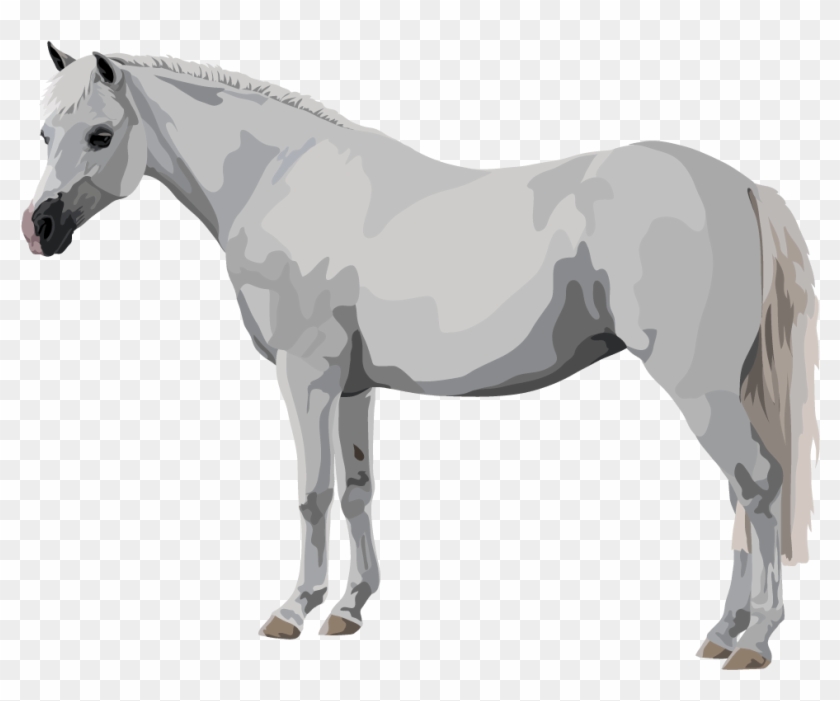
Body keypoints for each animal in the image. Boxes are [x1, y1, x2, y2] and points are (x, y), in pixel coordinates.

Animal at [23, 43, 819, 669]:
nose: (40, 227)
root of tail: (743, 186)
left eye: (100, 134)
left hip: (698, 386)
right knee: (741, 494)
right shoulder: (352, 387)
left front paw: (293, 609)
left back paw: (754, 641)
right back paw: (723, 632)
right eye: (43, 132)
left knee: (756, 485)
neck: (281, 182)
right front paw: (349, 608)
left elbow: (312, 492)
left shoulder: (306, 375)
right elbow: (356, 489)